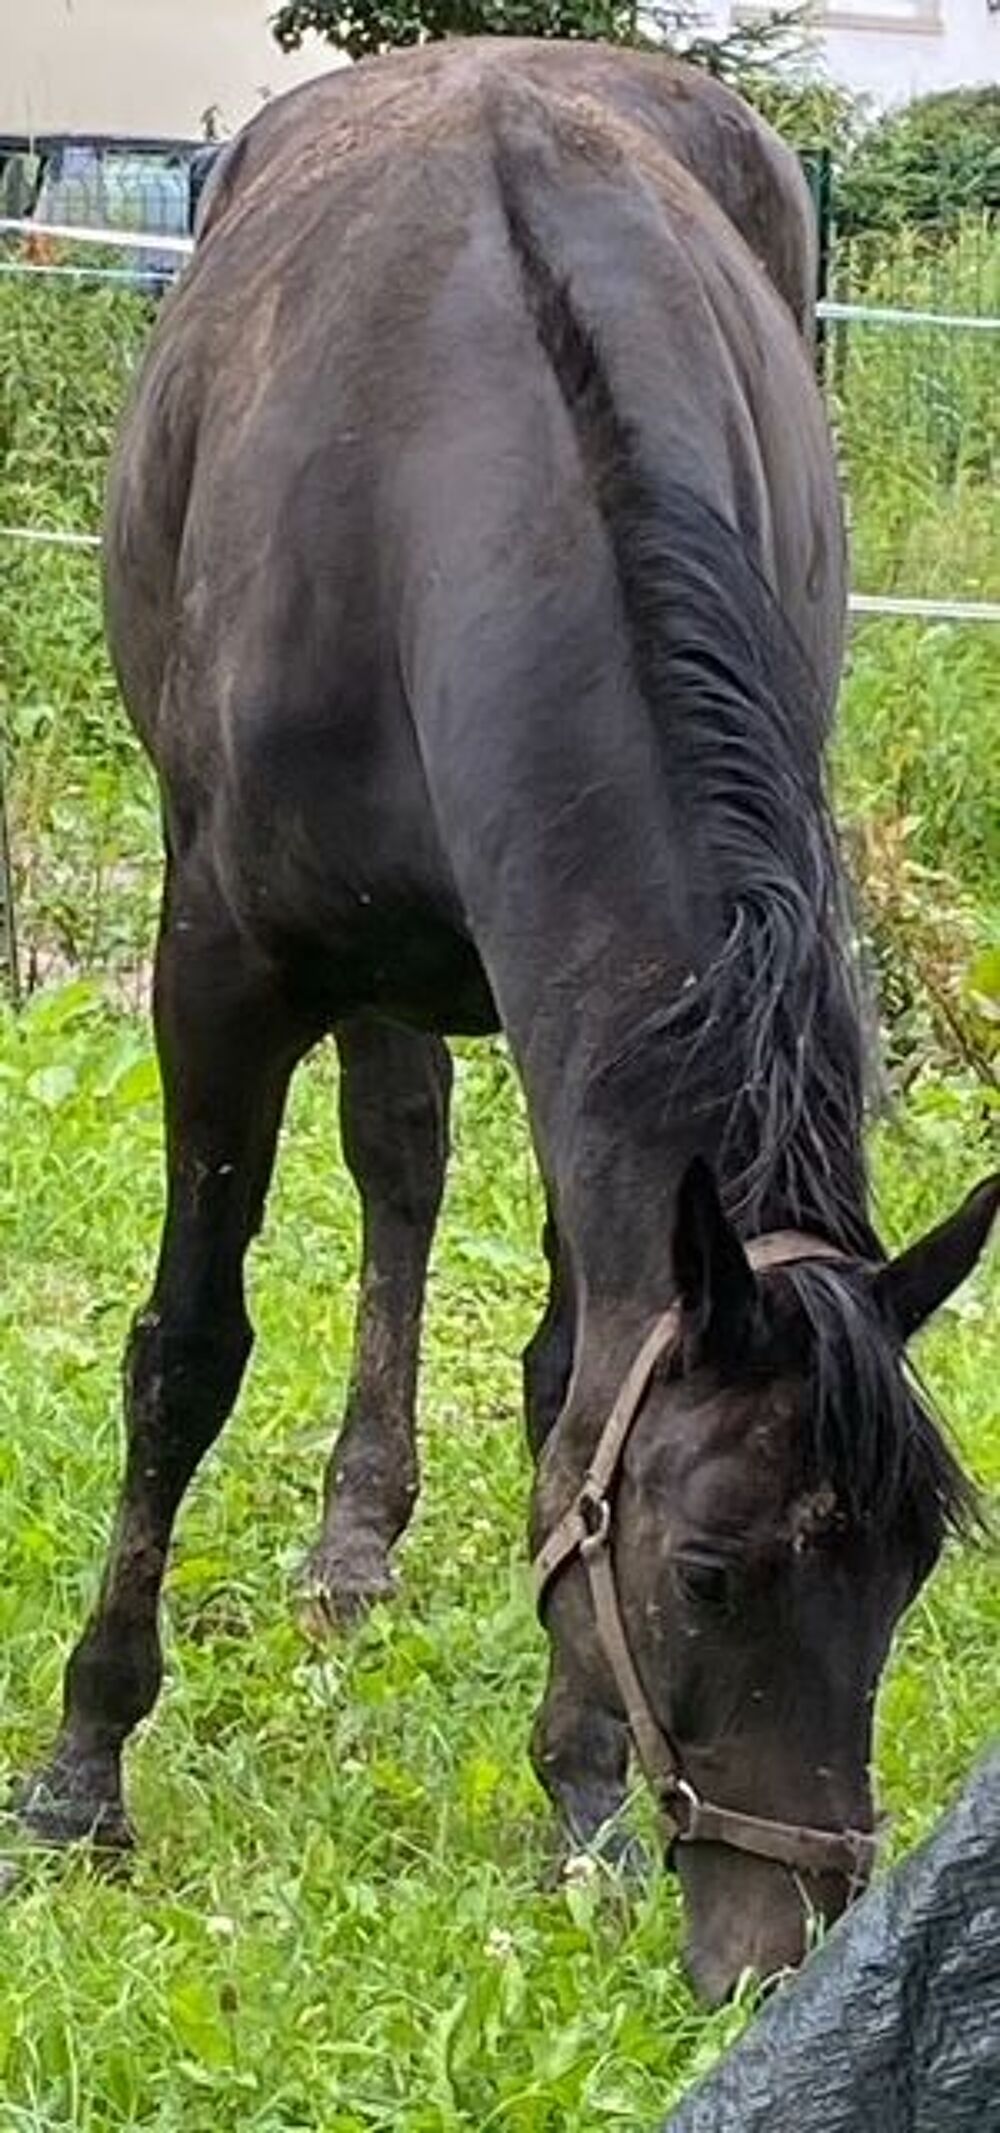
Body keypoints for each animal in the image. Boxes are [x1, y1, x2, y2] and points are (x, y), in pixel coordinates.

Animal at [19, 40, 998, 2005]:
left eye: (912, 1572)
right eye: (707, 1571)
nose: (783, 1950)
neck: (469, 465)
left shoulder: (596, 1026)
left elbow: (573, 1385)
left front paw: (585, 1795)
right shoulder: (218, 969)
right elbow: (186, 1349)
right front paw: (84, 1771)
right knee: (392, 1169)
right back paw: (346, 1547)